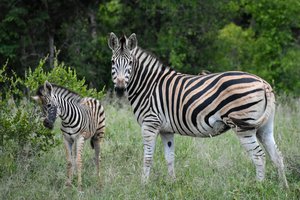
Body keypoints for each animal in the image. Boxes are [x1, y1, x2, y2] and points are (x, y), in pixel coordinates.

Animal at [107, 32, 288, 188]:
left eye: (130, 63)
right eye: (112, 62)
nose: (120, 90)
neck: (149, 86)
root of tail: (263, 83)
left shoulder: (149, 124)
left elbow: (147, 158)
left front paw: (143, 185)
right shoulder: (166, 130)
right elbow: (169, 157)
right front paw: (172, 184)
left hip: (243, 126)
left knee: (259, 156)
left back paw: (259, 187)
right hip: (264, 127)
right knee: (277, 156)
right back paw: (283, 188)